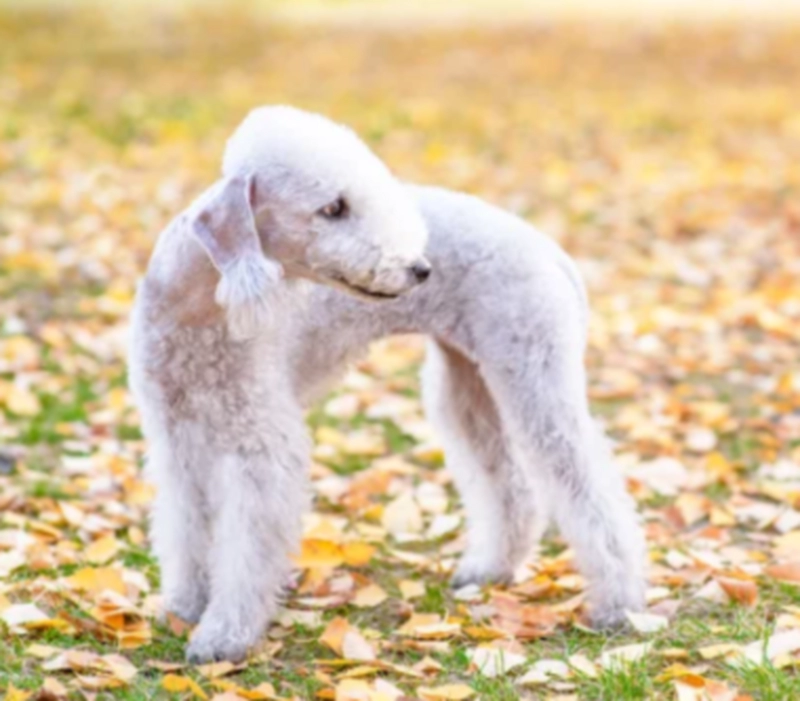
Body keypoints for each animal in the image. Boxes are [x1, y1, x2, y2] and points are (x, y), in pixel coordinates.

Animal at [128, 105, 648, 660]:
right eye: (333, 207)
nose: (419, 269)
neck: (200, 311)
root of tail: (548, 248)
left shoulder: (261, 442)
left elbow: (246, 544)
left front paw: (224, 634)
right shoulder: (176, 435)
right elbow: (185, 524)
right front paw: (185, 604)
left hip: (535, 372)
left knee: (589, 488)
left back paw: (620, 605)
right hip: (467, 384)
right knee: (509, 485)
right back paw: (488, 569)